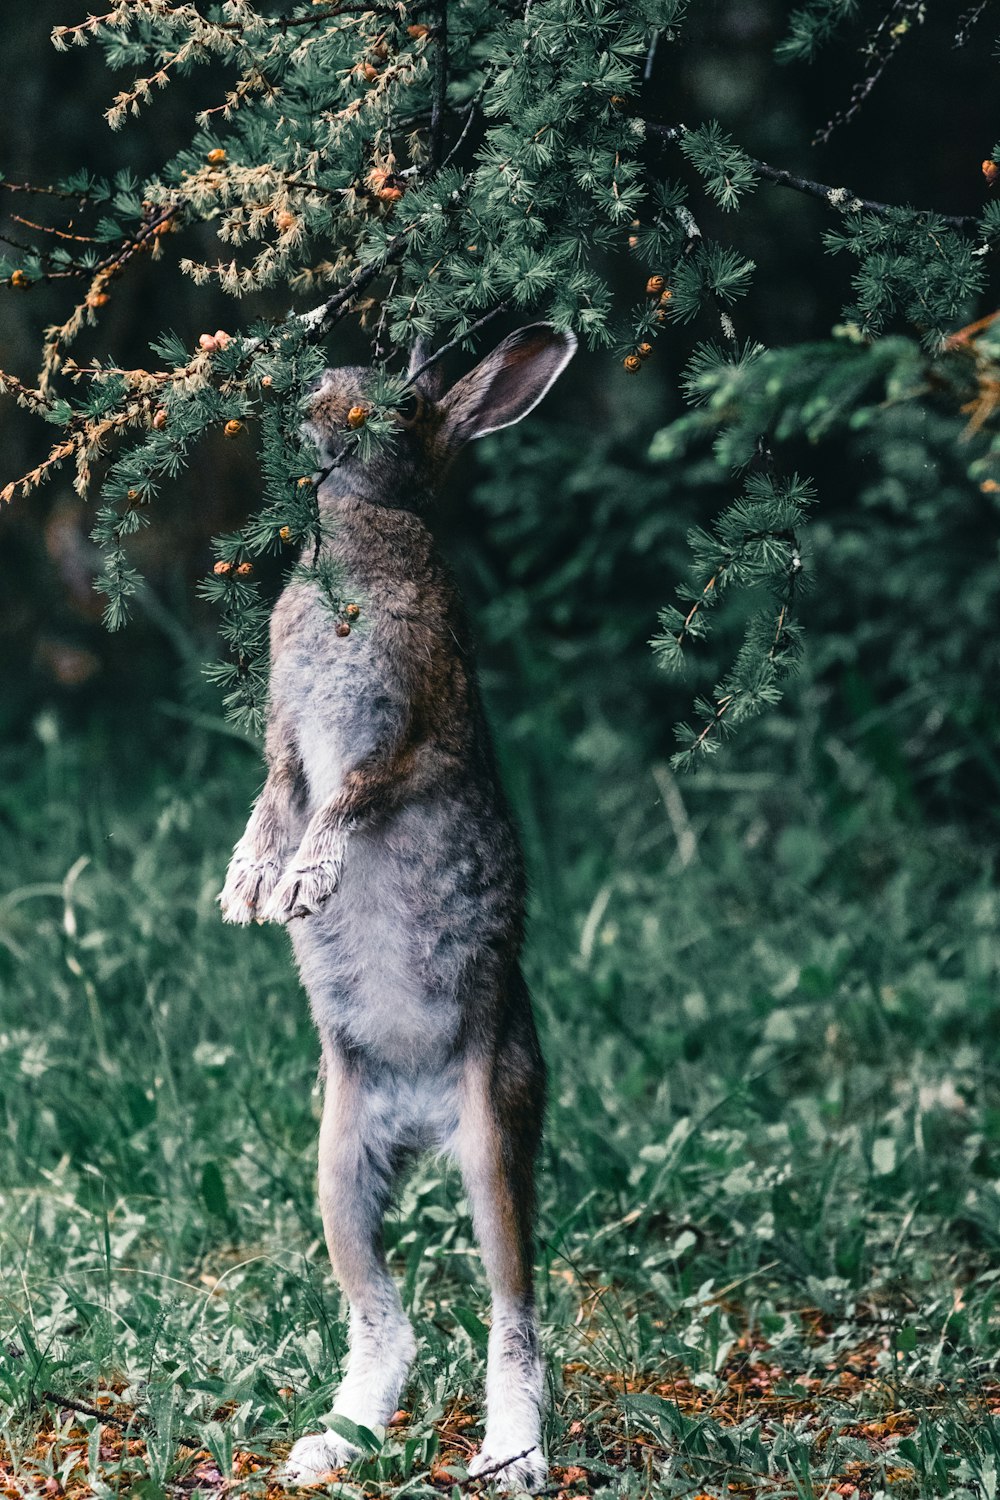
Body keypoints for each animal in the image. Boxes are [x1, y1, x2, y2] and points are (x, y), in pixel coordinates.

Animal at [218, 325, 578, 1488]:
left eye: (407, 405)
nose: (315, 403)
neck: (361, 537)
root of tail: (420, 1120)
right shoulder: (289, 740)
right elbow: (276, 797)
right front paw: (249, 886)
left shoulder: (404, 730)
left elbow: (349, 800)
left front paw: (305, 881)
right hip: (339, 1161)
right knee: (386, 1319)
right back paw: (327, 1447)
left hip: (495, 1135)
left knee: (514, 1309)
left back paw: (512, 1458)